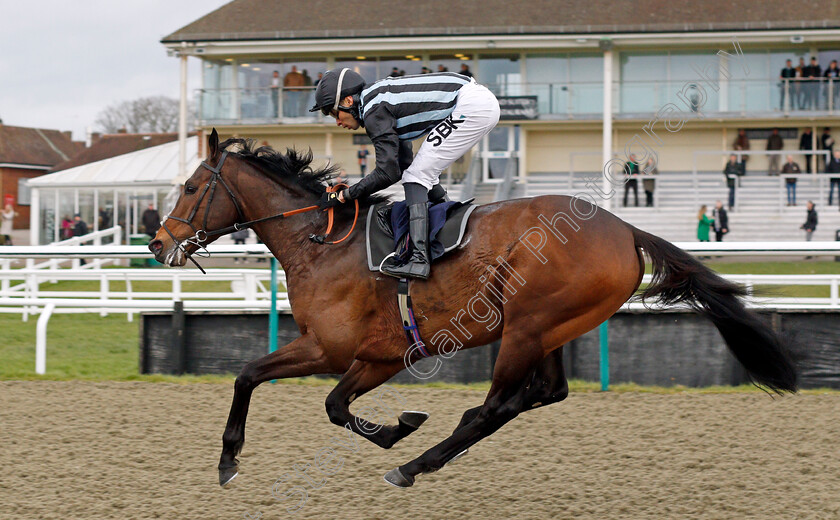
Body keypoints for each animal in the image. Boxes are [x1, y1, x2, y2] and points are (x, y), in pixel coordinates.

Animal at [153, 129, 800, 488]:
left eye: (190, 187)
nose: (159, 243)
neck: (320, 242)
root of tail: (625, 229)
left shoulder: (328, 347)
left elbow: (251, 375)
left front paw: (229, 460)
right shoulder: (378, 356)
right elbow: (334, 404)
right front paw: (399, 426)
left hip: (527, 326)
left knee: (499, 405)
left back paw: (416, 465)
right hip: (552, 327)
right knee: (544, 393)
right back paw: (436, 447)